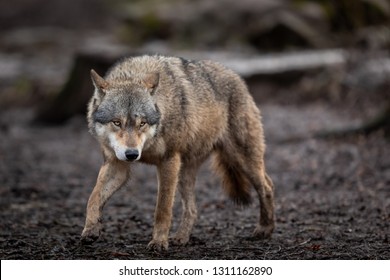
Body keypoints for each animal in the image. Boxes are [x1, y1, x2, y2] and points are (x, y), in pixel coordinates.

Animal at [80, 54, 274, 249]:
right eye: (117, 122)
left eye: (142, 123)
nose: (133, 154)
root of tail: (237, 77)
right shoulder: (117, 165)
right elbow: (93, 197)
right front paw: (91, 229)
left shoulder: (168, 161)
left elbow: (163, 209)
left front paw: (158, 242)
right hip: (185, 173)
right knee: (193, 209)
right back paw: (181, 238)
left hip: (241, 160)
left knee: (267, 186)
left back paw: (265, 229)